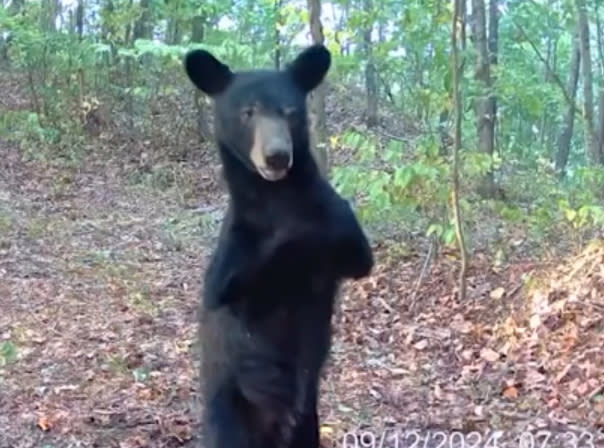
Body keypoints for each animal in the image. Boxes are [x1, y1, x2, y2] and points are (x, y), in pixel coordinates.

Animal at [183, 43, 372, 448]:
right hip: (227, 414)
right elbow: (236, 291)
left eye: (290, 112)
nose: (277, 155)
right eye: (247, 112)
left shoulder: (341, 227)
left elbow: (354, 252)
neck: (278, 198)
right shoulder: (232, 262)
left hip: (308, 426)